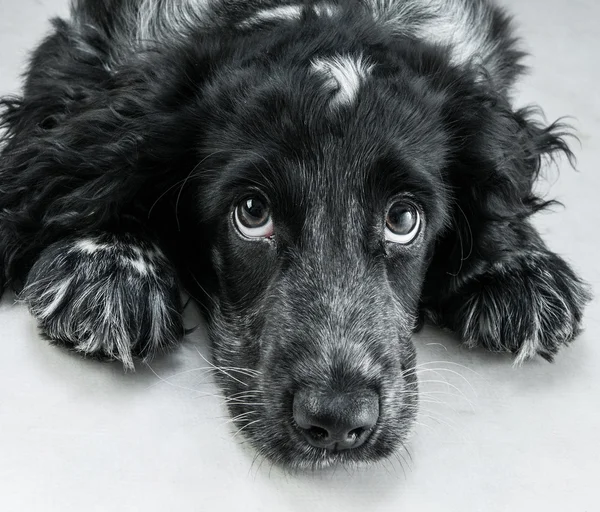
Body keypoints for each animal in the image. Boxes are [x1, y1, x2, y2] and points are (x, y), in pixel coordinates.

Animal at [0, 0, 592, 470]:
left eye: (403, 220)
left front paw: (514, 266)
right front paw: (108, 265)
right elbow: (97, 160)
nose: (338, 422)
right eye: (251, 212)